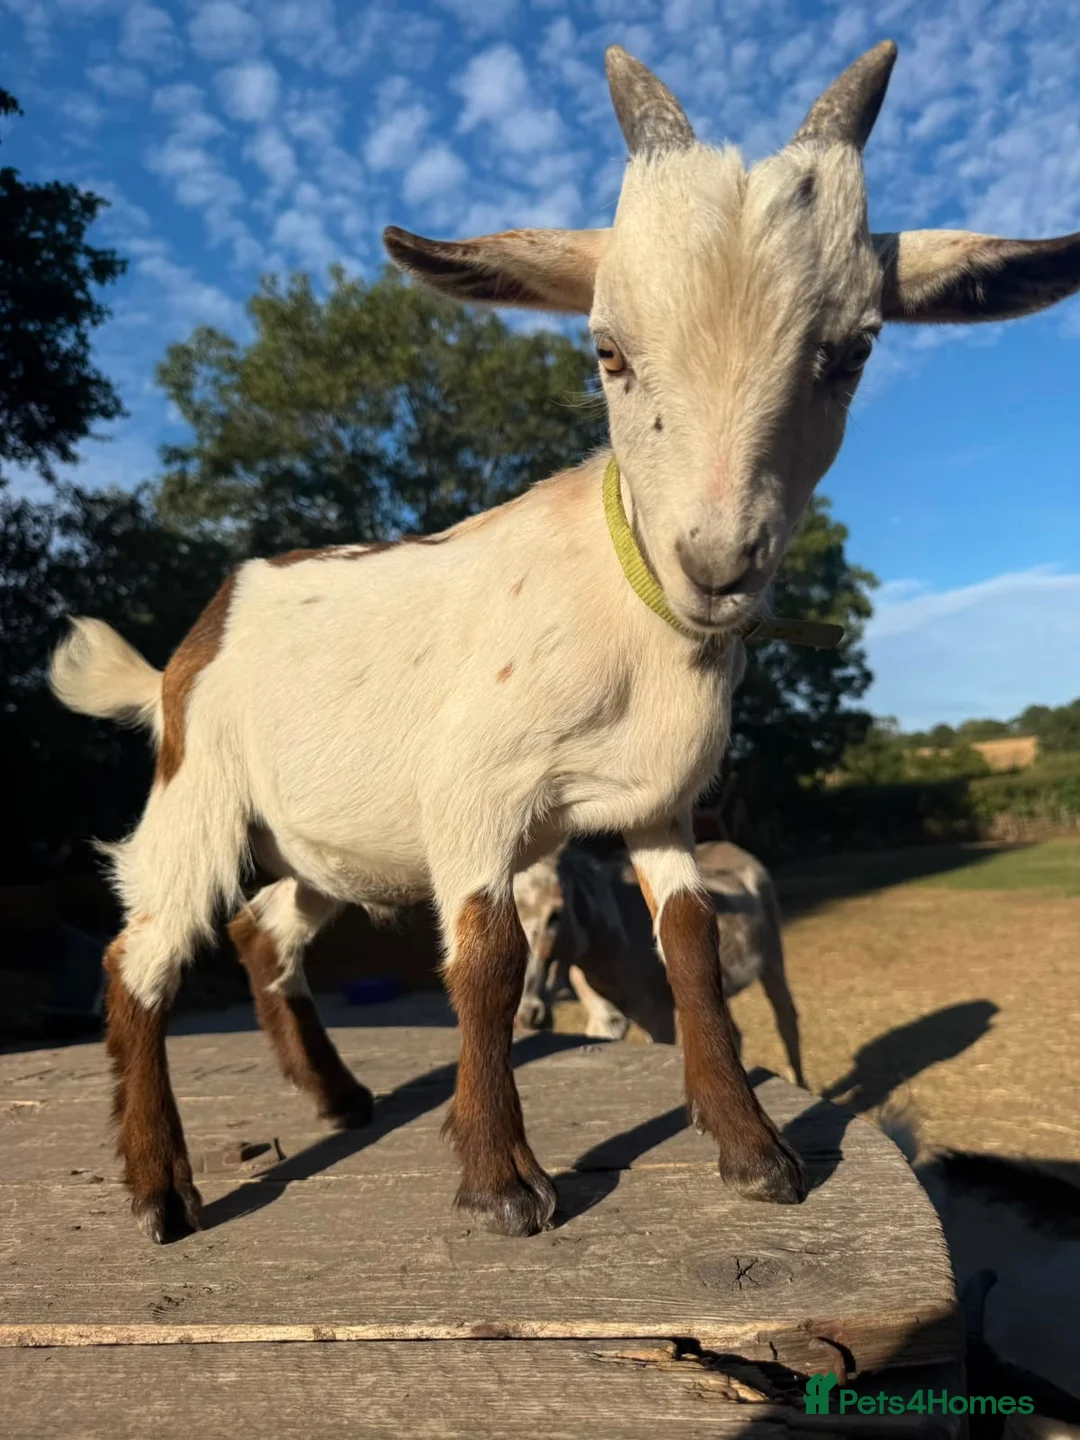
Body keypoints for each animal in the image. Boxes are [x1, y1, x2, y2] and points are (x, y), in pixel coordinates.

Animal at [514, 843, 806, 1092]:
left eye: (554, 914)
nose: (526, 1015)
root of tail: (735, 850)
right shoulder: (606, 1018)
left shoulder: (658, 1015)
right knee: (735, 1033)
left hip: (772, 961)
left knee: (786, 1021)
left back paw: (800, 1084)